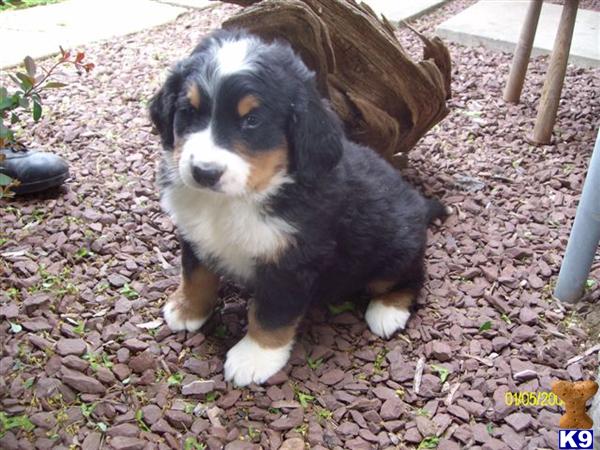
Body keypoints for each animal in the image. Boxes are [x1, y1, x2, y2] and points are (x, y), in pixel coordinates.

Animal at [150, 29, 448, 386]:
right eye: (189, 111)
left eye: (252, 121)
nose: (204, 172)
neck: (240, 198)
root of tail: (417, 203)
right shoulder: (195, 234)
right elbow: (195, 276)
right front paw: (186, 309)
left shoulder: (292, 262)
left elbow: (271, 313)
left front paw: (254, 357)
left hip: (392, 250)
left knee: (412, 277)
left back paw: (387, 311)